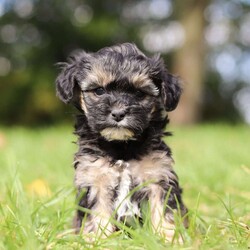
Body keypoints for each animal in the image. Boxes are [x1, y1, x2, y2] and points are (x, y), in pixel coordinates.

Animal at [55, 42, 188, 240]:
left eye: (139, 93)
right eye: (99, 90)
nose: (118, 113)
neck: (121, 147)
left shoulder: (158, 176)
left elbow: (164, 211)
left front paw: (170, 239)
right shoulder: (95, 179)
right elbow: (98, 215)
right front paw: (98, 240)